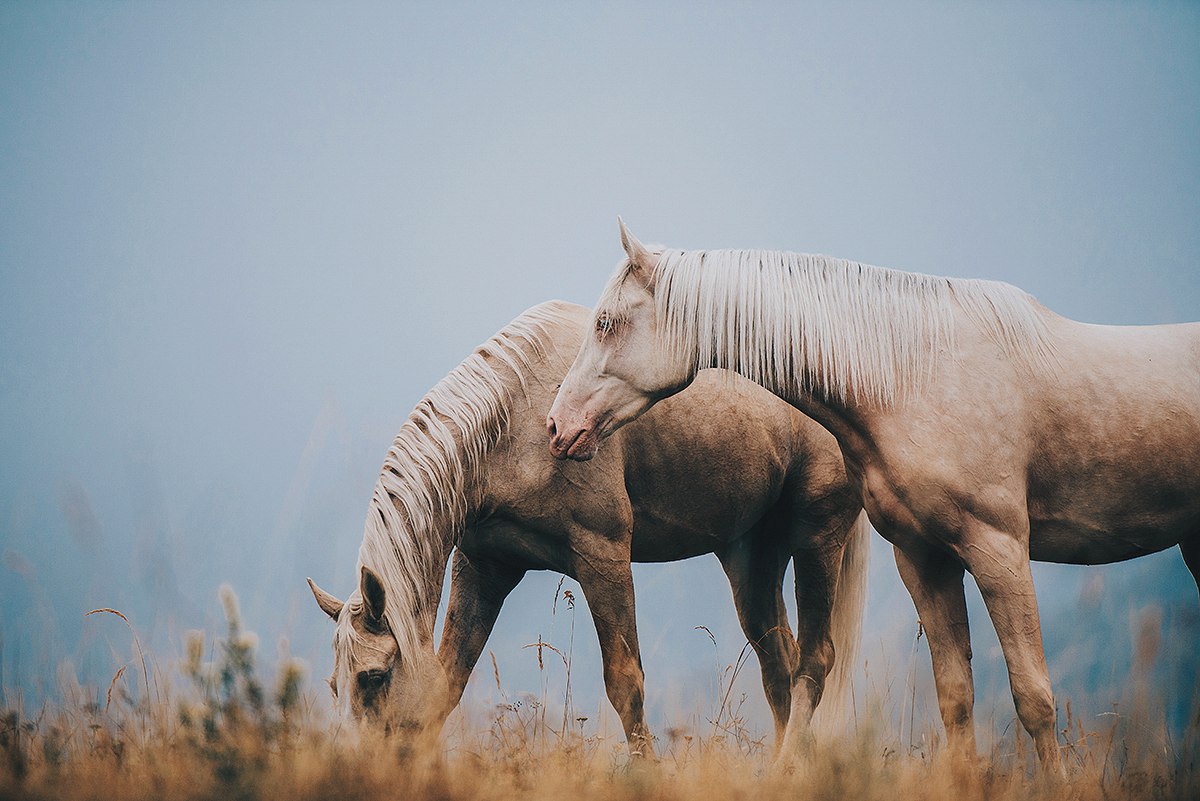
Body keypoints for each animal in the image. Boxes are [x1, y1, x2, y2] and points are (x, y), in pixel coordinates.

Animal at [307, 300, 870, 759]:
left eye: (374, 676)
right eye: (333, 684)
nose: (350, 762)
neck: (514, 422)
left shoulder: (604, 559)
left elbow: (626, 684)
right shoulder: (484, 568)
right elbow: (449, 681)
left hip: (818, 539)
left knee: (814, 661)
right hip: (752, 559)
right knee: (779, 667)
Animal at [547, 219, 1200, 774]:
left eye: (605, 322)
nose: (557, 426)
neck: (916, 377)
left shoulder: (1000, 551)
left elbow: (1035, 697)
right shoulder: (925, 557)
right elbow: (955, 696)